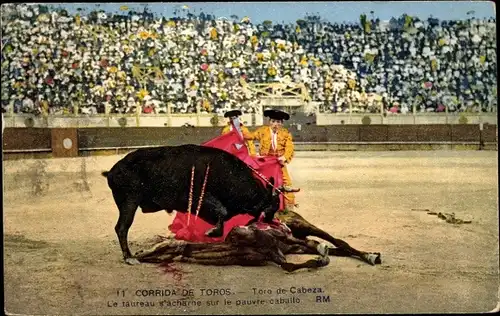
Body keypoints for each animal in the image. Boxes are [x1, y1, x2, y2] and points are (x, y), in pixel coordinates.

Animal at [101, 144, 282, 262]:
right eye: (271, 207)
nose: (270, 221)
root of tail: (112, 171)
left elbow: (222, 214)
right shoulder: (200, 198)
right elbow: (221, 211)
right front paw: (212, 232)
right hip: (129, 202)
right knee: (122, 228)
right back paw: (129, 257)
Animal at [135, 210, 380, 272]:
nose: (138, 255)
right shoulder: (275, 253)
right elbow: (289, 266)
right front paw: (320, 260)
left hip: (302, 225)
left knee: (338, 242)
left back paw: (371, 256)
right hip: (298, 241)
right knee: (329, 246)